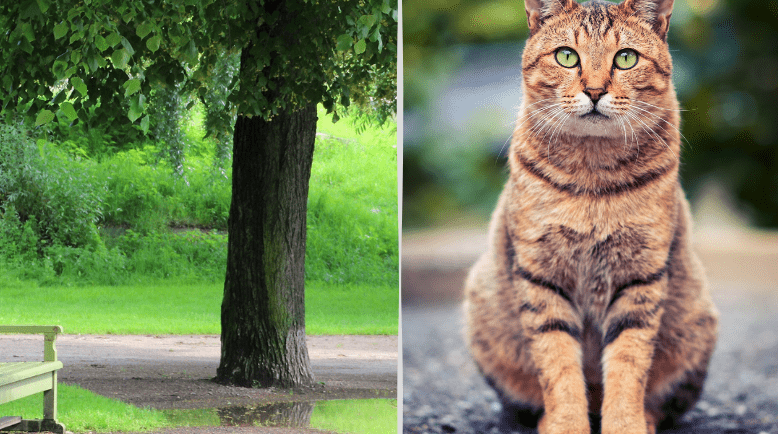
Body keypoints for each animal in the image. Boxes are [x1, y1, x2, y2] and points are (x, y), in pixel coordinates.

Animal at [464, 0, 720, 434]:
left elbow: (628, 364)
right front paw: (566, 423)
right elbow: (558, 366)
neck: (593, 174)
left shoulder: (641, 275)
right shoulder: (541, 275)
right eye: (567, 56)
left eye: (626, 58)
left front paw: (626, 423)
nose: (596, 91)